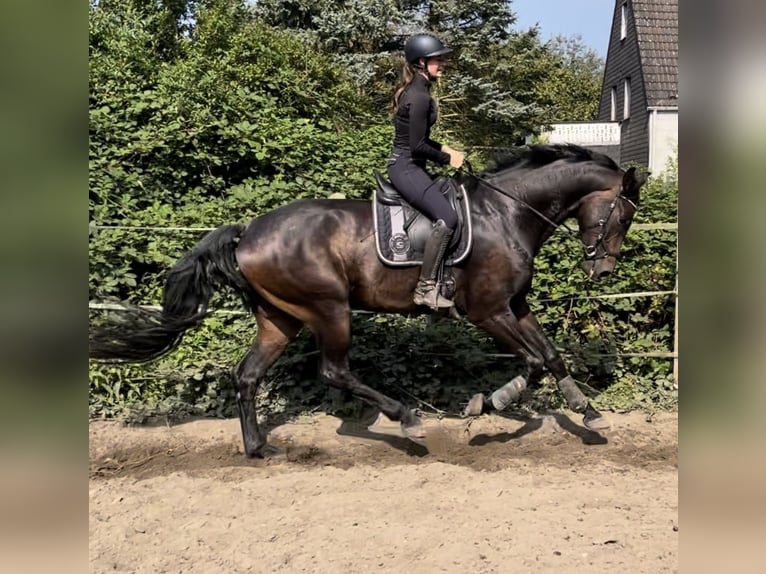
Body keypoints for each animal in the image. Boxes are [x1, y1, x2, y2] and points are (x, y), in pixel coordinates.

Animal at [93, 144, 652, 460]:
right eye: (623, 216)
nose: (602, 271)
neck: (506, 213)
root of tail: (247, 231)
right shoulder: (488, 312)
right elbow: (533, 363)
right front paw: (487, 404)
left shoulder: (516, 307)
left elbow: (551, 356)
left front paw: (587, 411)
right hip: (329, 309)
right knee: (334, 371)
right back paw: (407, 420)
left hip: (280, 318)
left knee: (247, 375)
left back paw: (258, 448)